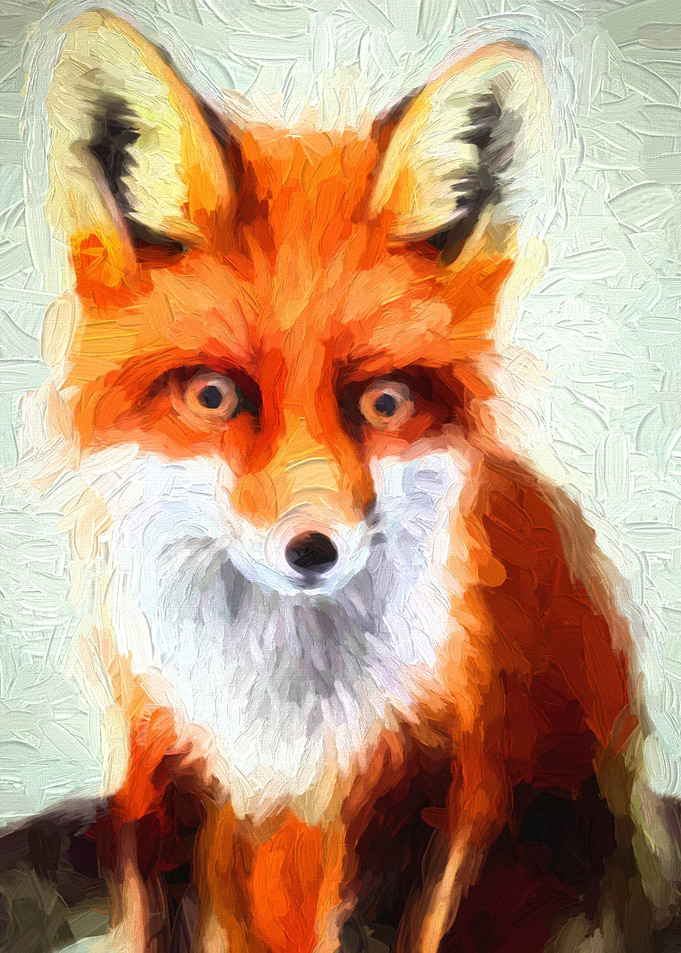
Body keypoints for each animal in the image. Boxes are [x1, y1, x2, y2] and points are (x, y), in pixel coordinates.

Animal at [9, 7, 681, 953]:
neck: (282, 713)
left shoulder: (427, 792)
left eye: (384, 400)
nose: (313, 550)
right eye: (214, 395)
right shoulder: (160, 774)